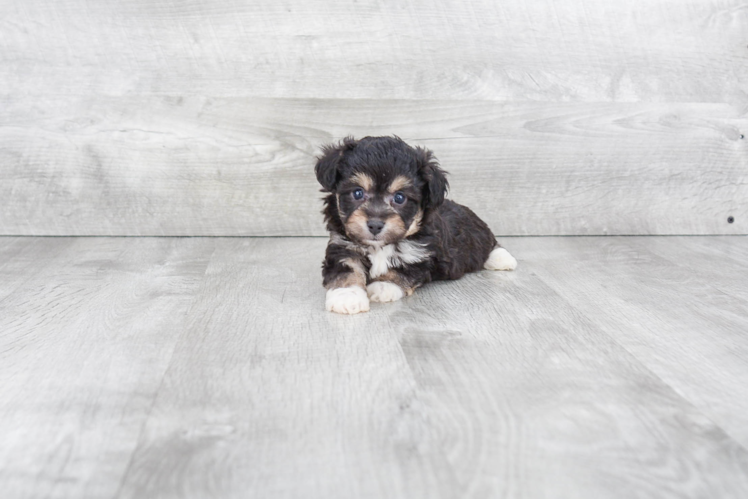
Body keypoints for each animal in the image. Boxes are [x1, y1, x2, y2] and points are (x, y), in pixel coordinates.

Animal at [312, 135, 516, 314]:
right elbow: (346, 269)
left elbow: (402, 270)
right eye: (357, 193)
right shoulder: (343, 246)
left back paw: (502, 259)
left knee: (489, 243)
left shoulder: (421, 255)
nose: (375, 225)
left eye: (399, 198)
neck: (381, 246)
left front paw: (383, 286)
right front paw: (347, 296)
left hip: (476, 233)